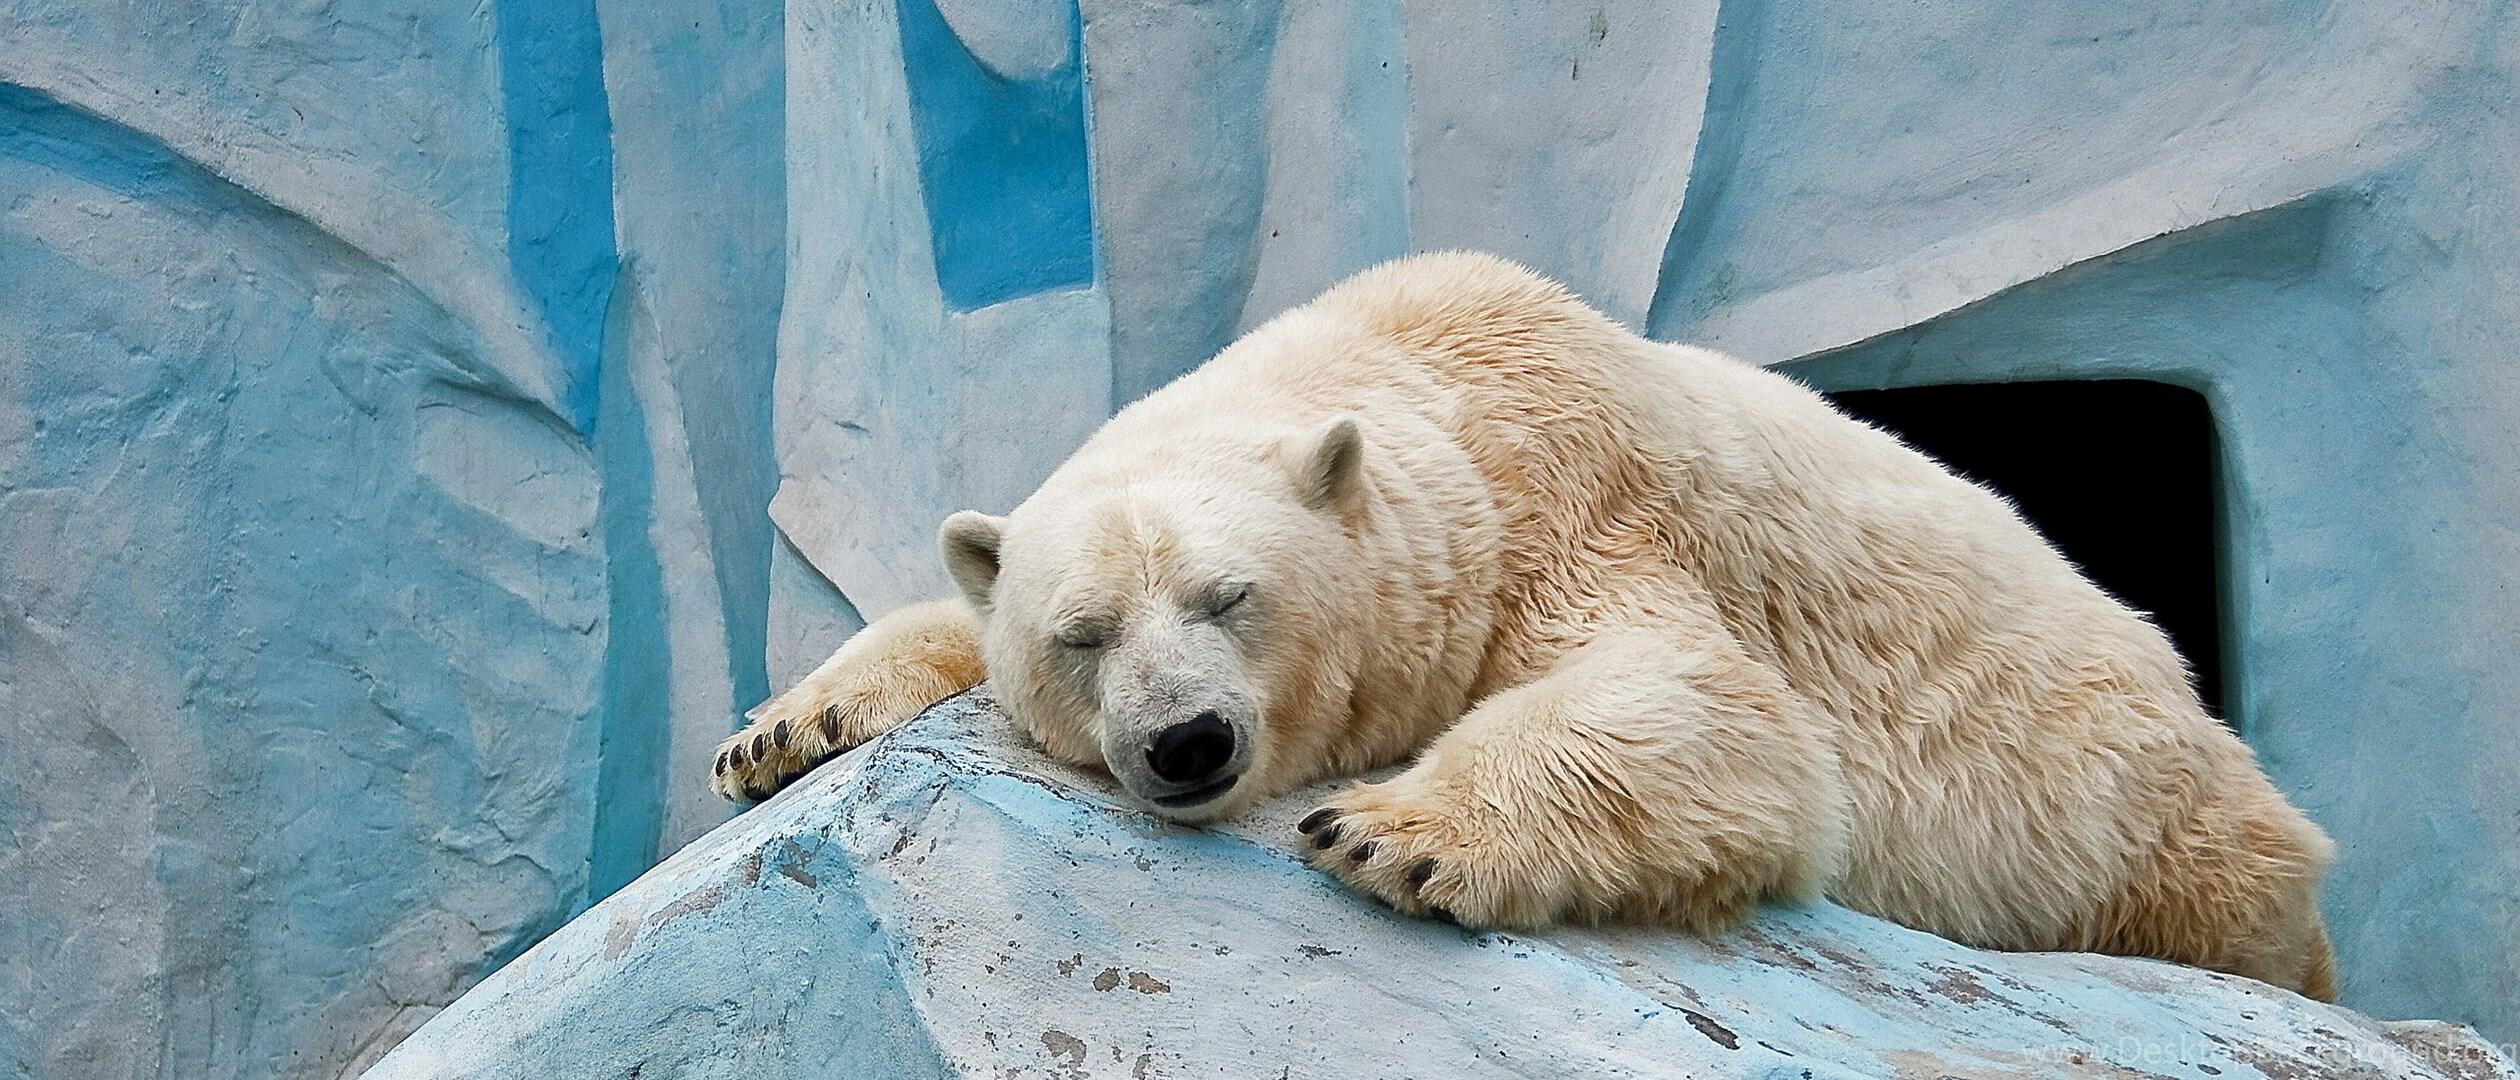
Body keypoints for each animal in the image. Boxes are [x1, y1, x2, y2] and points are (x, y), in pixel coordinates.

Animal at [710, 250, 2338, 991]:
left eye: (1232, 596)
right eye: (1084, 632)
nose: (1186, 744)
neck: (1423, 371)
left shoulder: (1575, 503)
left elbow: (1717, 710)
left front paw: (1394, 831)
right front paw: (779, 731)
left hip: (2150, 825)